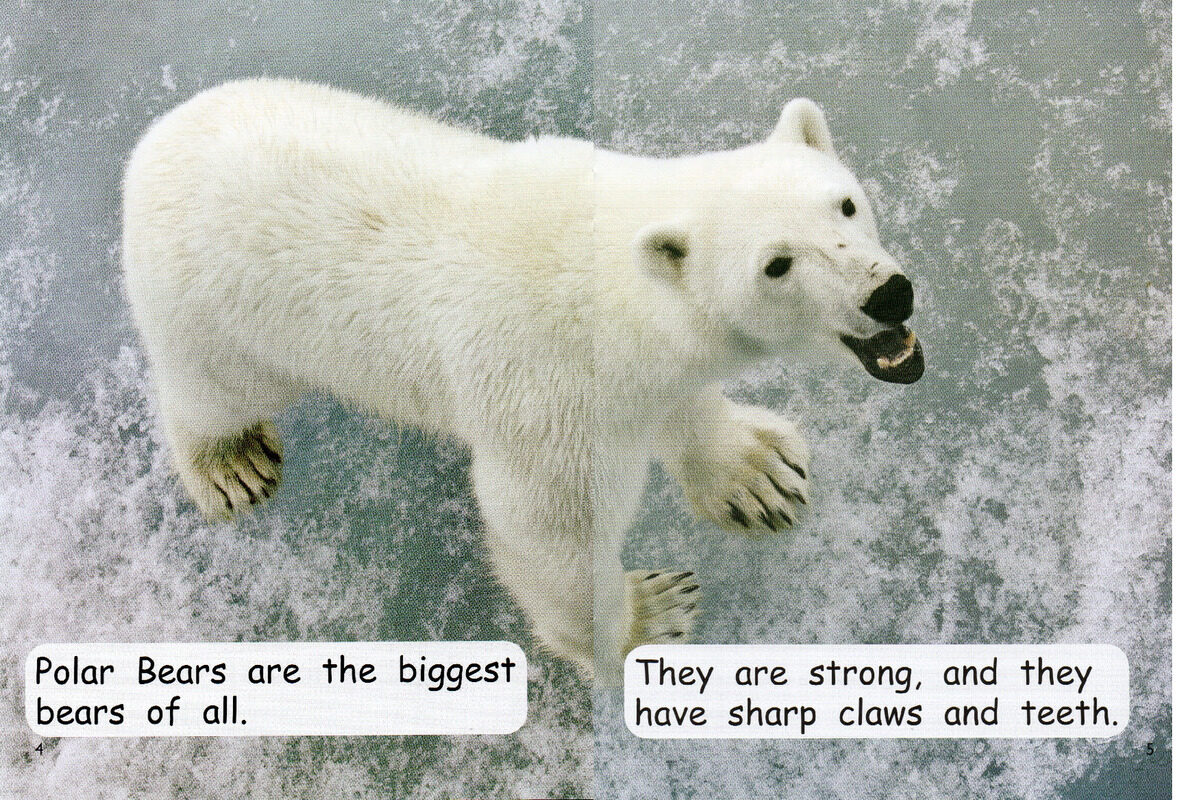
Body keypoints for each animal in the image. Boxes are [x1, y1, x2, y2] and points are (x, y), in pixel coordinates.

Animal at [121, 78, 922, 682]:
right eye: (777, 265)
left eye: (844, 203)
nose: (889, 295)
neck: (612, 298)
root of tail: (150, 147)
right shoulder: (550, 399)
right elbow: (549, 536)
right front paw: (648, 619)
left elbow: (687, 407)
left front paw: (760, 474)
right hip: (219, 312)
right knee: (216, 388)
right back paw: (229, 463)